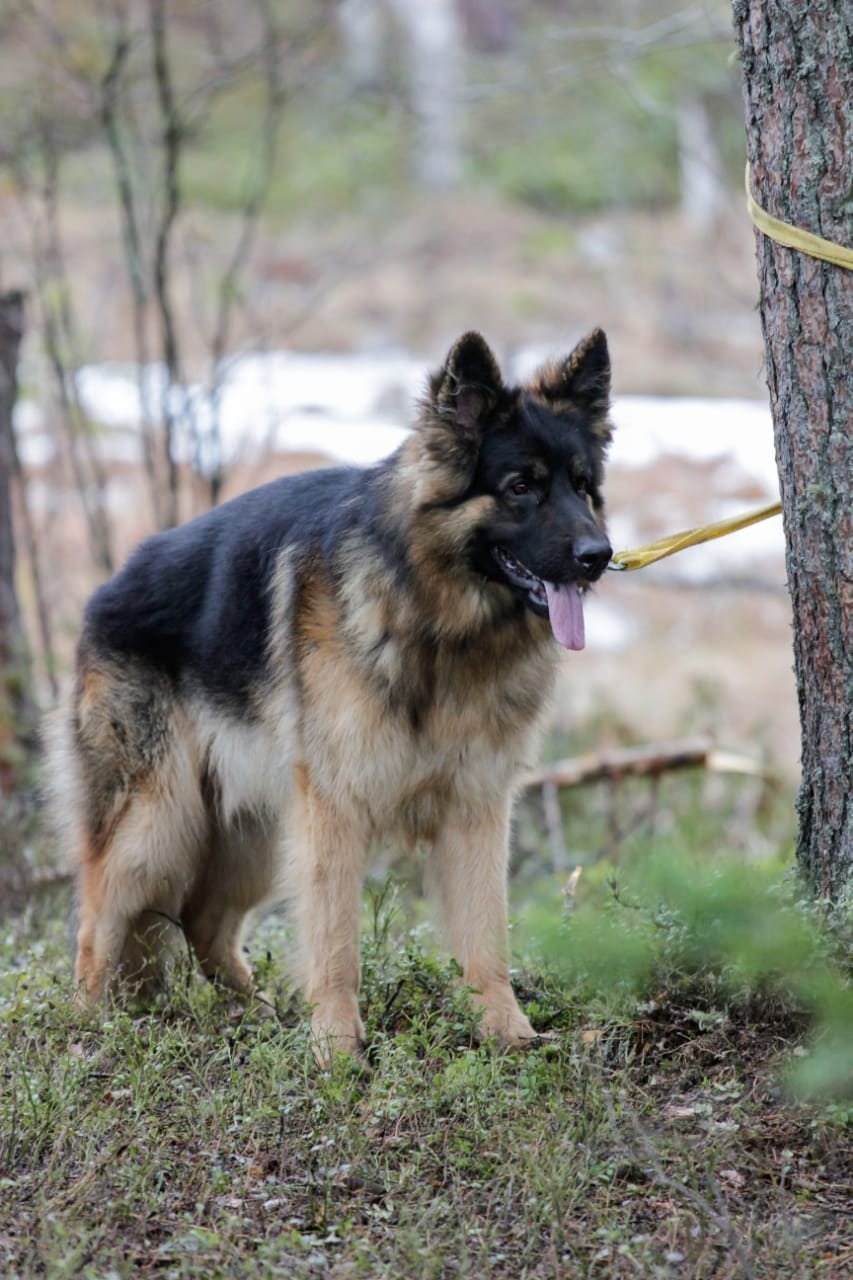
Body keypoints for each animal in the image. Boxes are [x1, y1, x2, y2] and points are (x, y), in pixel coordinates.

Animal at [53, 327, 612, 1059]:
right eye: (521, 487)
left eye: (583, 487)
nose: (599, 556)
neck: (433, 618)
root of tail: (103, 593)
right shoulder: (335, 810)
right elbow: (336, 939)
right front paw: (337, 1047)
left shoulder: (476, 808)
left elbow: (488, 936)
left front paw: (507, 1032)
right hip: (156, 820)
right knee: (99, 920)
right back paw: (93, 1028)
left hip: (251, 831)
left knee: (202, 920)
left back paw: (254, 1015)